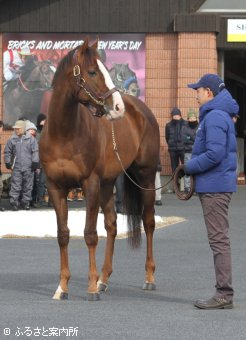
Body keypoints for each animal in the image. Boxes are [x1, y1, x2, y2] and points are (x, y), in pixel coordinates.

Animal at [39, 38, 160, 302]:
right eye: (93, 71)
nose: (117, 107)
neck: (64, 134)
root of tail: (142, 110)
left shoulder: (90, 183)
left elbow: (90, 234)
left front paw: (91, 288)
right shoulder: (55, 187)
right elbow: (63, 234)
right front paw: (62, 287)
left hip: (145, 177)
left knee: (148, 223)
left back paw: (148, 278)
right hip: (108, 183)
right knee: (112, 226)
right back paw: (104, 279)